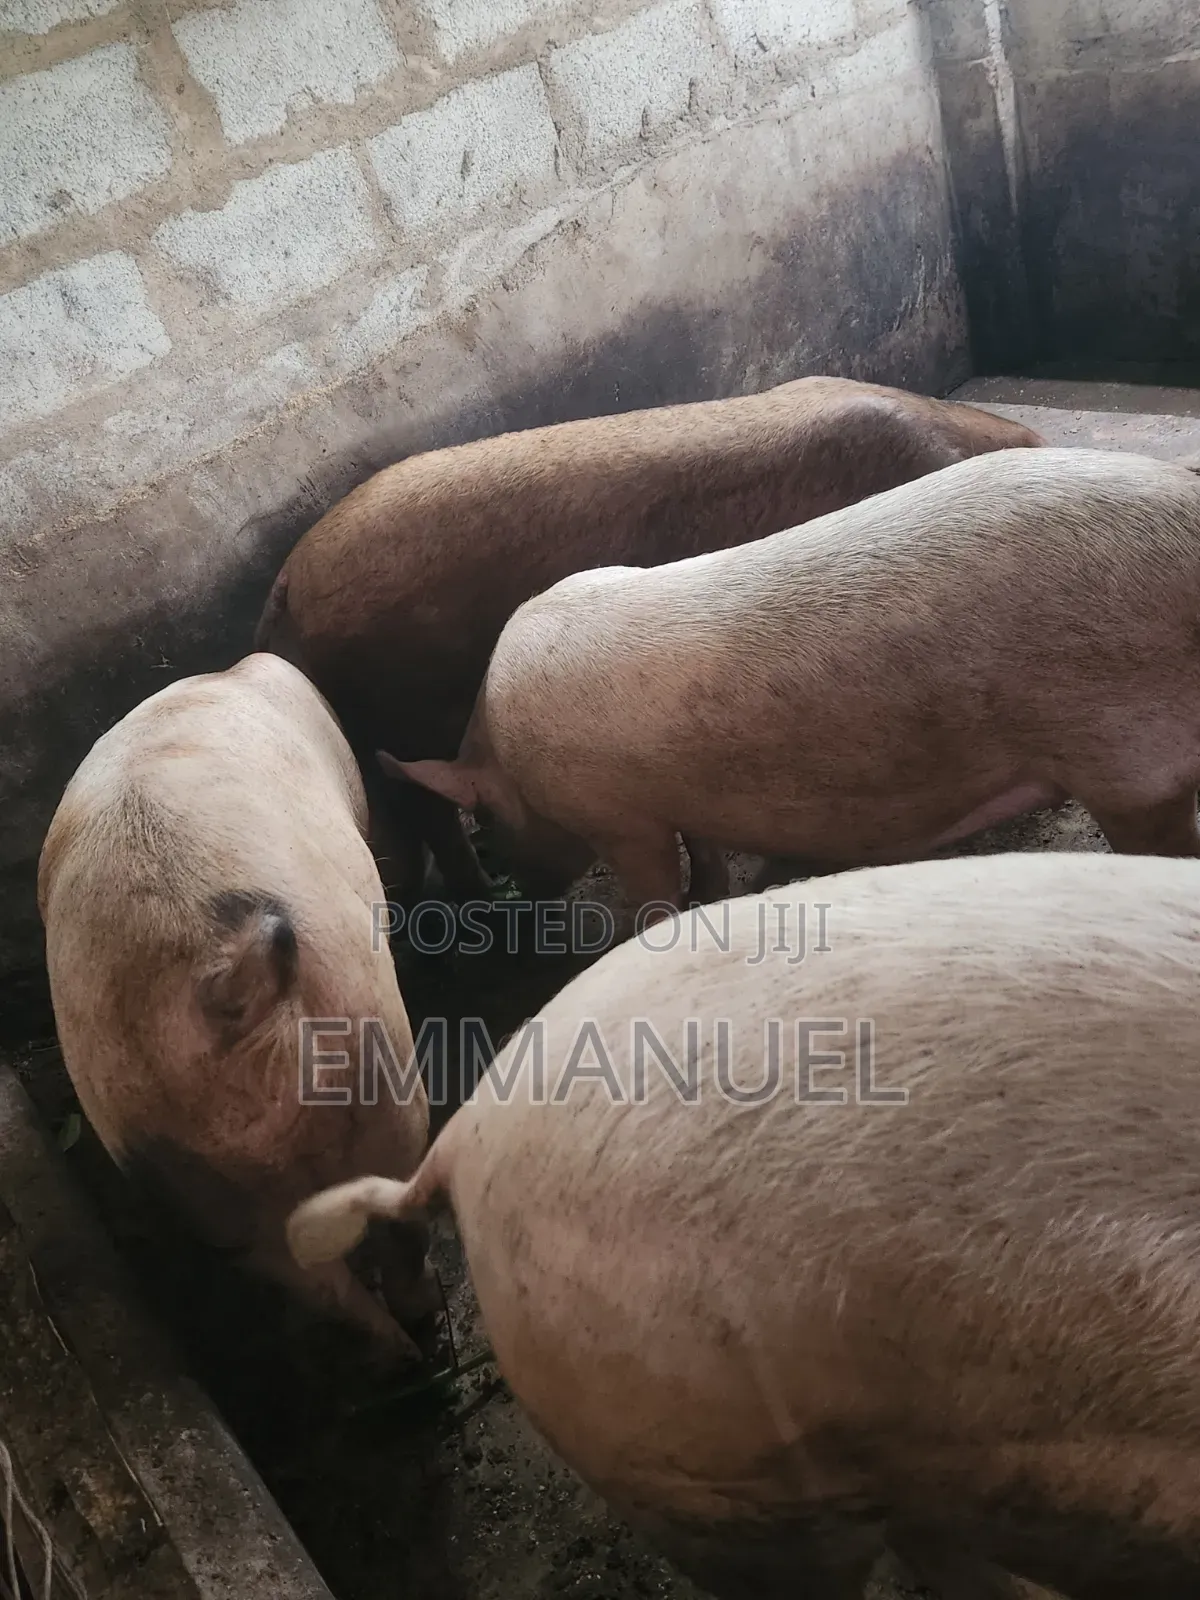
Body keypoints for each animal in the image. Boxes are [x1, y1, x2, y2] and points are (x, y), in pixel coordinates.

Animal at [38, 652, 434, 1360]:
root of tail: (226, 993)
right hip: (372, 1042)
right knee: (394, 1213)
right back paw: (424, 1328)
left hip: (181, 1166)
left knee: (315, 1280)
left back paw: (399, 1358)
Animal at [388, 446, 1200, 918]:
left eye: (487, 821)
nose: (522, 891)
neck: (500, 749)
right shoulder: (676, 795)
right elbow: (707, 849)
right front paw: (712, 896)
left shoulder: (618, 818)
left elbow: (650, 892)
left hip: (1128, 753)